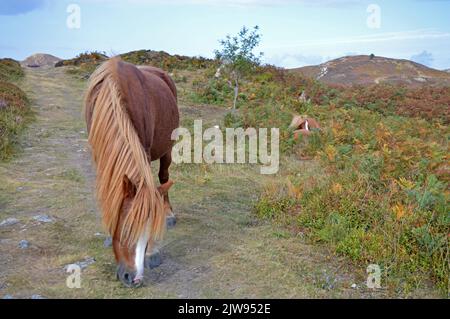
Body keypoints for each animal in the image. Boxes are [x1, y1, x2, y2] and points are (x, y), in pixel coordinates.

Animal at [84, 58, 179, 288]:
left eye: (148, 234)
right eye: (126, 230)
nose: (133, 278)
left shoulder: (144, 148)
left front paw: (152, 253)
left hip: (167, 148)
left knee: (163, 177)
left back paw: (168, 213)